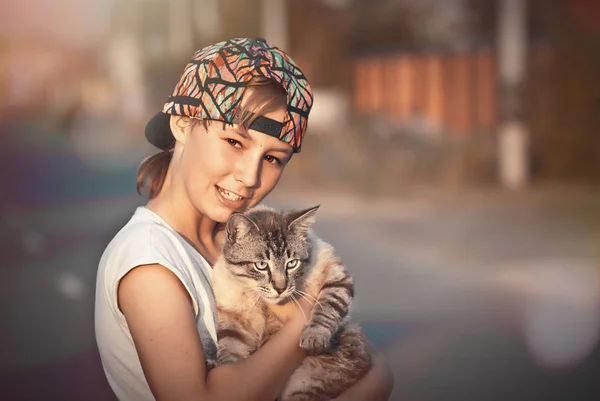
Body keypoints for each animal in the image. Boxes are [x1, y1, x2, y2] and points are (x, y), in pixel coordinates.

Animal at [210, 205, 370, 398]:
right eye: (261, 265)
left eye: (292, 263)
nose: (280, 288)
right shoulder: (234, 318)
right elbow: (230, 351)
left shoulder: (337, 276)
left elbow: (328, 307)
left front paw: (314, 336)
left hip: (306, 384)